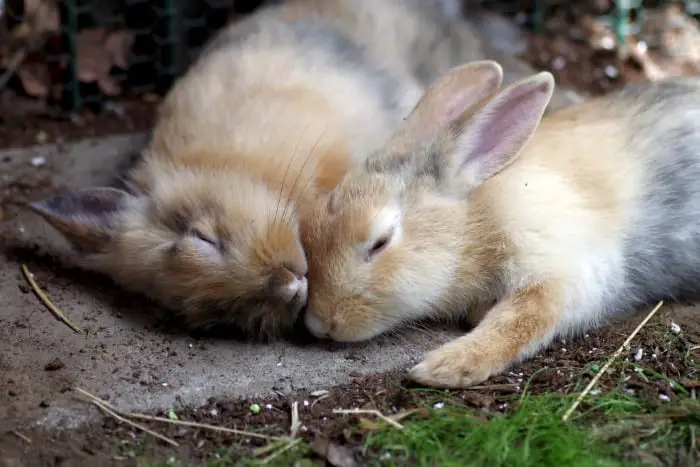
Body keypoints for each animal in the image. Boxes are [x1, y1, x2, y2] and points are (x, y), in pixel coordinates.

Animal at [302, 58, 700, 388]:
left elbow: (520, 321)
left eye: (381, 241)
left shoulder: (561, 269)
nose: (318, 324)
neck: (474, 226)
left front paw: (445, 368)